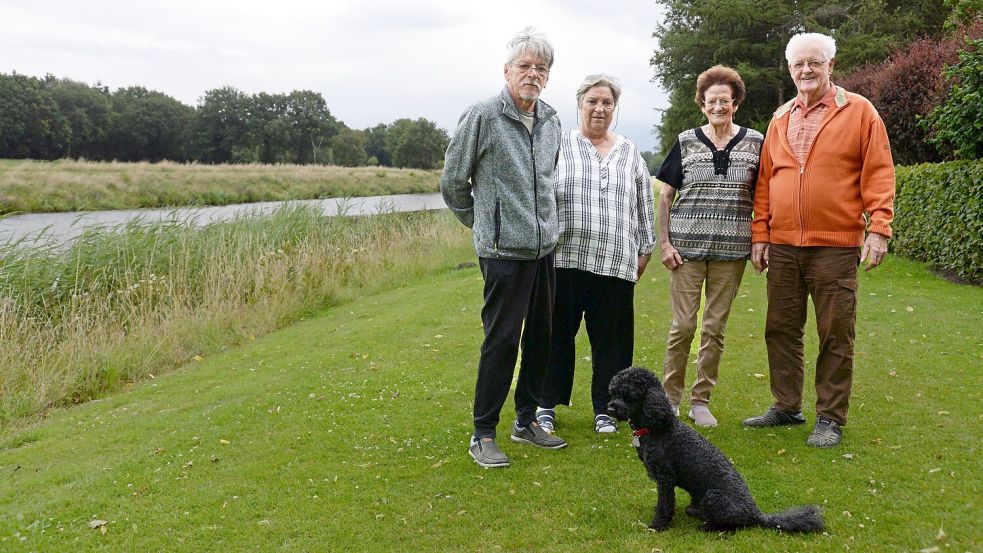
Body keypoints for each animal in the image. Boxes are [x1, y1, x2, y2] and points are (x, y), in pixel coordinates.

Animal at [608, 366, 824, 532]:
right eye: (614, 392)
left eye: (630, 395)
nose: (610, 409)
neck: (657, 427)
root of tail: (757, 514)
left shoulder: (665, 479)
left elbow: (665, 505)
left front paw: (658, 525)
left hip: (713, 497)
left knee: (735, 526)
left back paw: (708, 526)